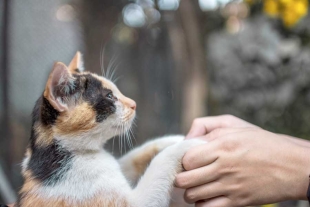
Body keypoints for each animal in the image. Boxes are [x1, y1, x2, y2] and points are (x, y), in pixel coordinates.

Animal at [15, 52, 203, 207]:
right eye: (110, 96)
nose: (134, 104)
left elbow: (134, 157)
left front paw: (175, 139)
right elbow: (159, 163)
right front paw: (188, 145)